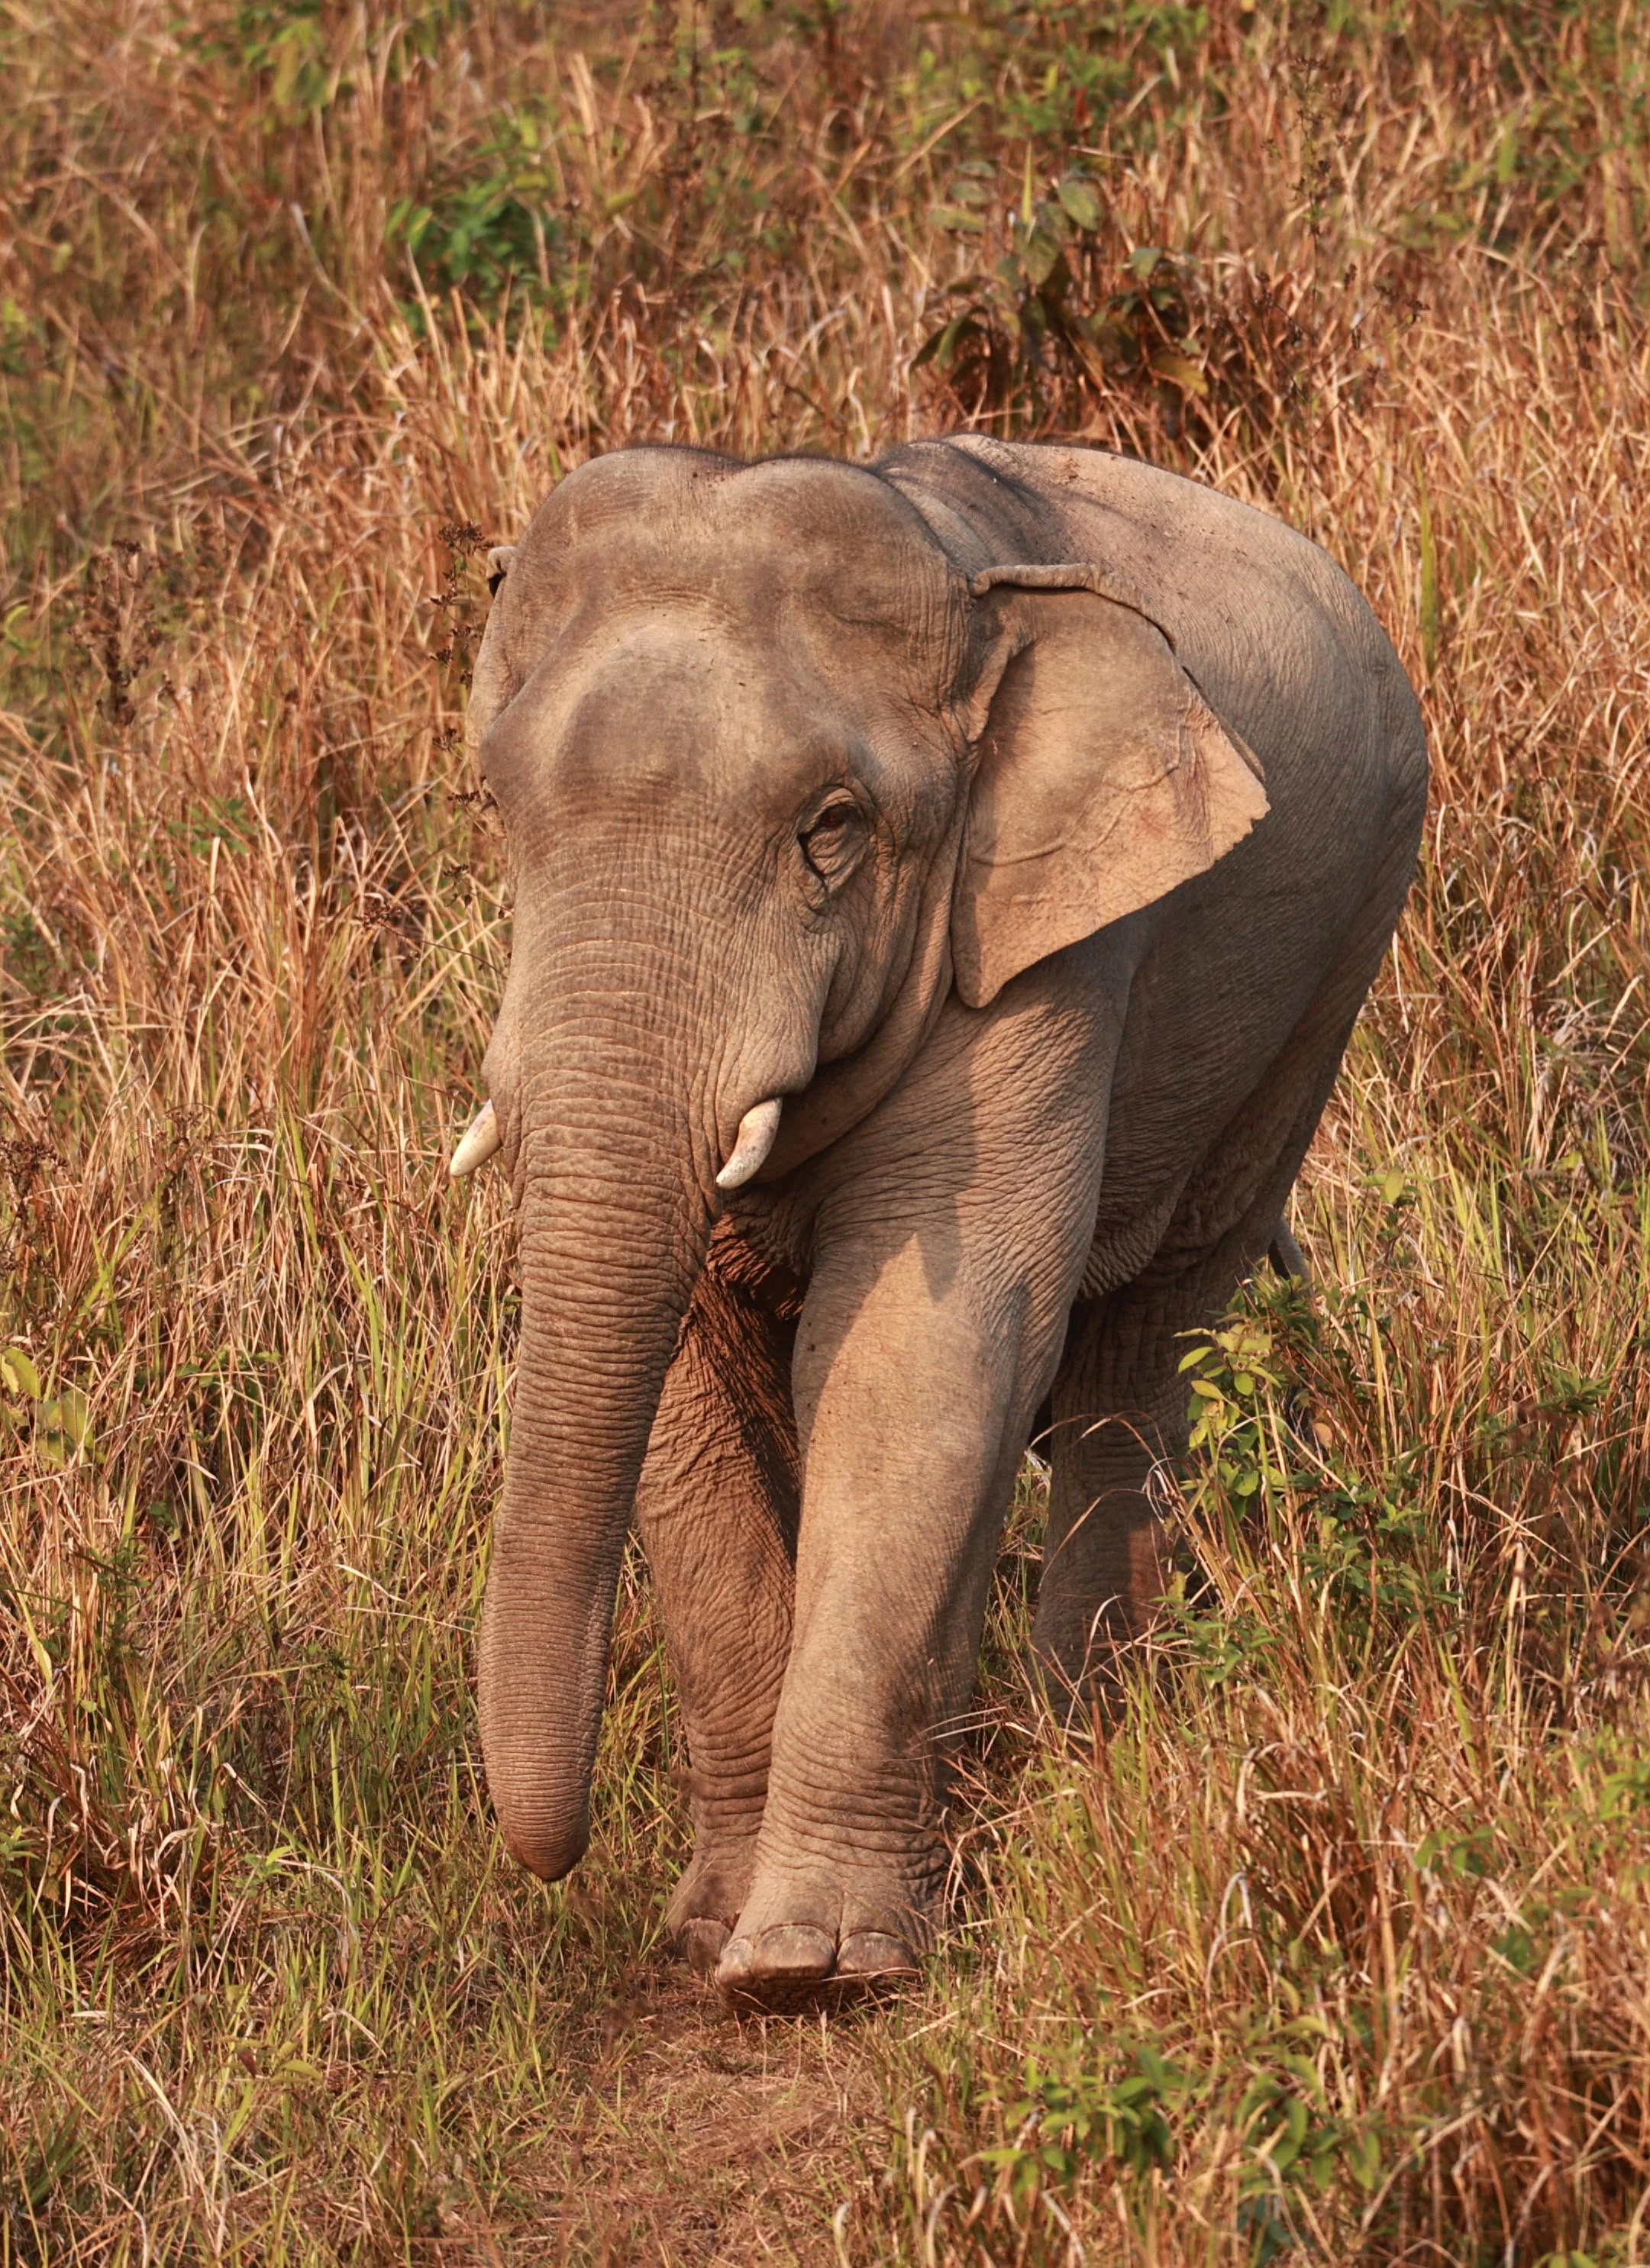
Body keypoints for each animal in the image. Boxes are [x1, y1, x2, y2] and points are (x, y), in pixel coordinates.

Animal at [451, 434, 1427, 2009]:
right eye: (501, 812)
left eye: (832, 831)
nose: (548, 1860)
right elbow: (683, 1363)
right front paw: (712, 1938)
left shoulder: (1050, 944)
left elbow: (920, 1346)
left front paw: (811, 1972)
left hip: (1334, 965)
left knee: (1144, 1346)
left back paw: (1072, 1759)